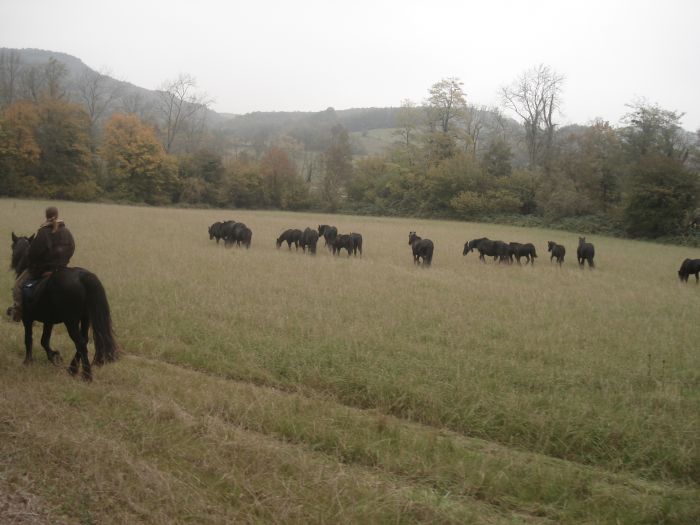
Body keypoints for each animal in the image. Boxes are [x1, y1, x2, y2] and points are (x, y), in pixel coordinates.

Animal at [9, 233, 118, 380]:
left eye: (13, 247)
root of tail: (83, 276)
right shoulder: (48, 321)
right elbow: (44, 340)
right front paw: (55, 357)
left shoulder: (27, 319)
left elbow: (29, 339)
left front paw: (28, 361)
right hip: (85, 318)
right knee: (84, 340)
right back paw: (73, 369)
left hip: (71, 321)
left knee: (80, 343)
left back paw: (86, 376)